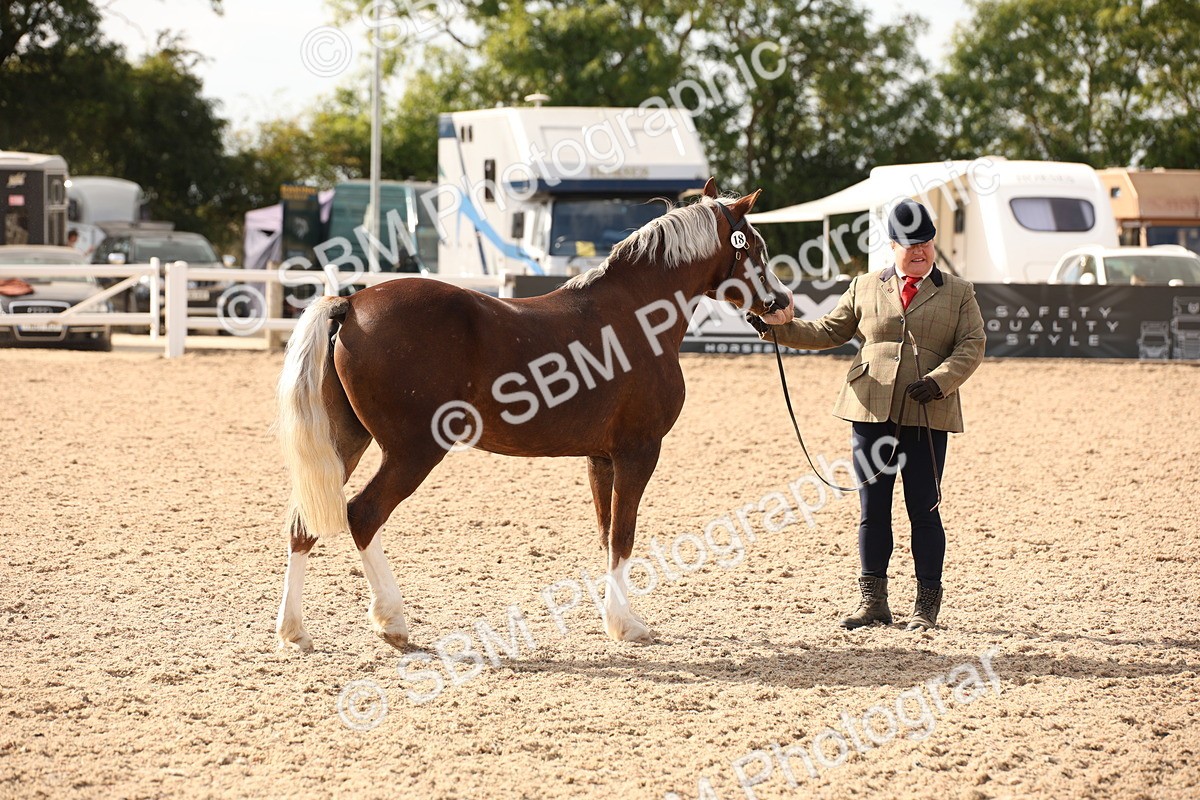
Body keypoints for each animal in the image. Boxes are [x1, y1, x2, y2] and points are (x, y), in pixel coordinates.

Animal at [273, 178, 795, 652]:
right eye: (756, 247)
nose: (783, 303)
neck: (638, 316)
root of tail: (351, 302)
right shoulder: (638, 452)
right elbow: (624, 536)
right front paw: (626, 626)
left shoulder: (601, 459)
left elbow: (607, 536)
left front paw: (612, 617)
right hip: (413, 451)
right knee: (363, 515)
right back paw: (392, 621)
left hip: (348, 442)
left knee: (303, 524)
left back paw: (294, 631)